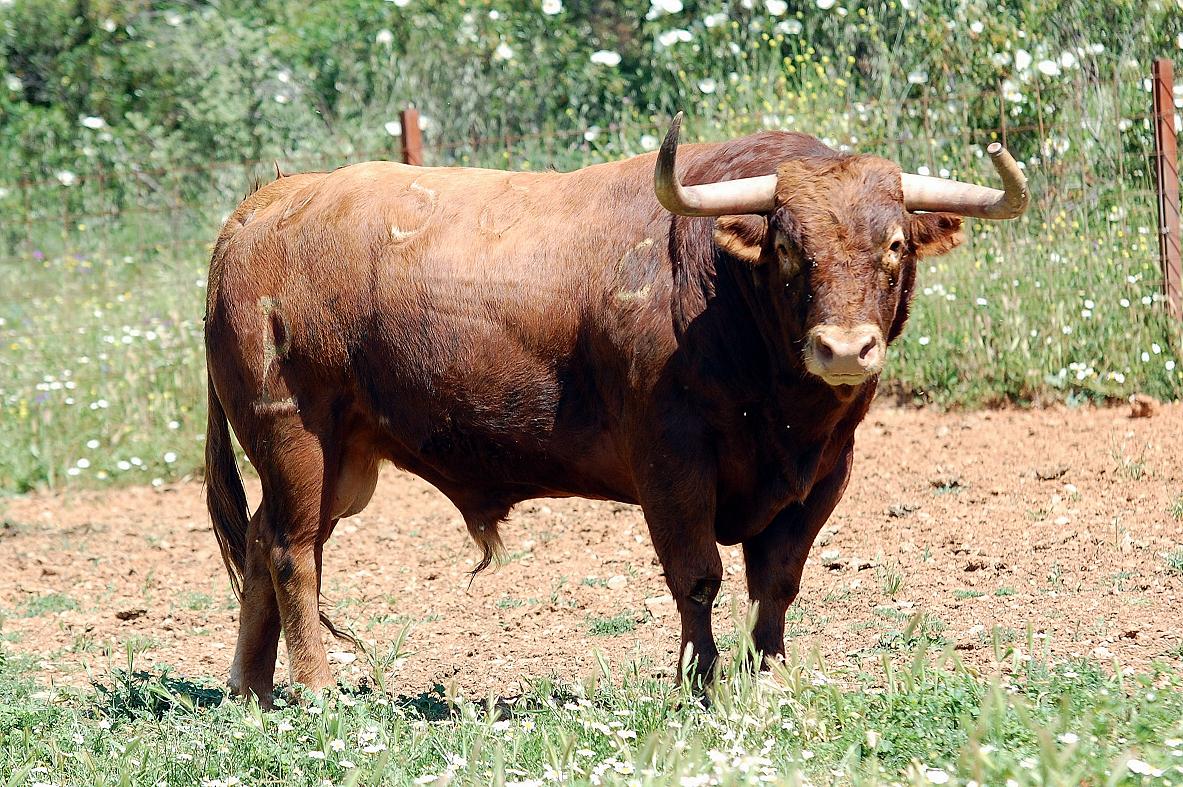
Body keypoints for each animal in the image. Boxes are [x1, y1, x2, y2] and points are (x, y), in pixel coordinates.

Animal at [203, 113, 1026, 700]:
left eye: (894, 246)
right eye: (790, 249)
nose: (844, 349)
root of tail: (261, 207)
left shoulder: (823, 473)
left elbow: (777, 581)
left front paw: (773, 678)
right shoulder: (670, 460)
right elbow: (696, 575)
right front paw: (700, 685)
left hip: (347, 458)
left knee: (262, 539)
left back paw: (252, 688)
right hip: (295, 435)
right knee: (291, 551)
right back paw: (314, 688)